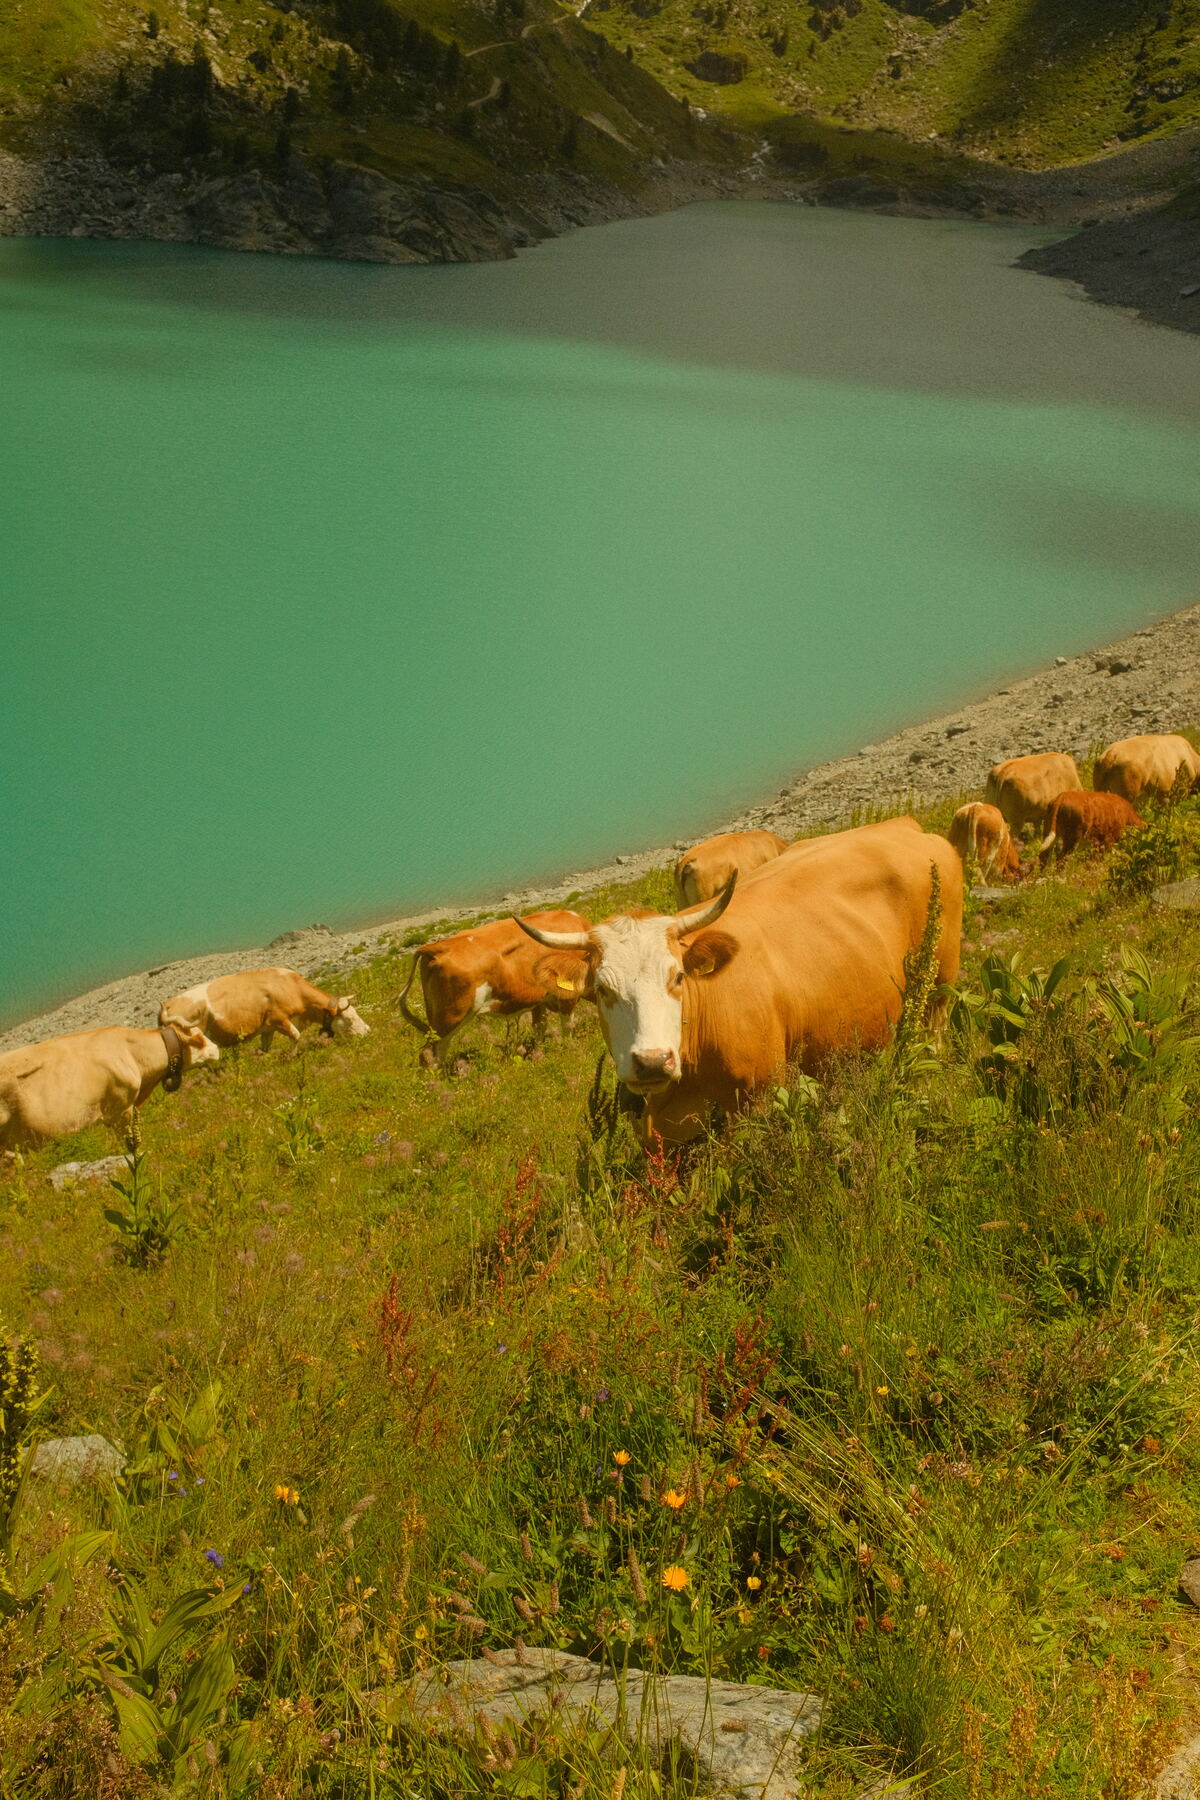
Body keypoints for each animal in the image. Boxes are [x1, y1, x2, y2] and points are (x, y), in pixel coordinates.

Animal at [159, 969, 369, 1052]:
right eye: (349, 1019)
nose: (368, 1031)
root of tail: (168, 1004)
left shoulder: (267, 1028)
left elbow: (264, 1049)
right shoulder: (279, 1019)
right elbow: (296, 1035)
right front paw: (291, 1057)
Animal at [397, 911, 591, 1064]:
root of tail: (435, 947)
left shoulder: (539, 1000)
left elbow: (539, 1028)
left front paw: (540, 1053)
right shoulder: (567, 996)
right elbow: (567, 1027)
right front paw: (569, 1051)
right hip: (450, 1018)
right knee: (429, 1055)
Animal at [516, 817, 962, 1144]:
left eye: (678, 977)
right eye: (602, 990)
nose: (653, 1061)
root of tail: (905, 826)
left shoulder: (759, 1099)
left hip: (941, 976)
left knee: (936, 1024)